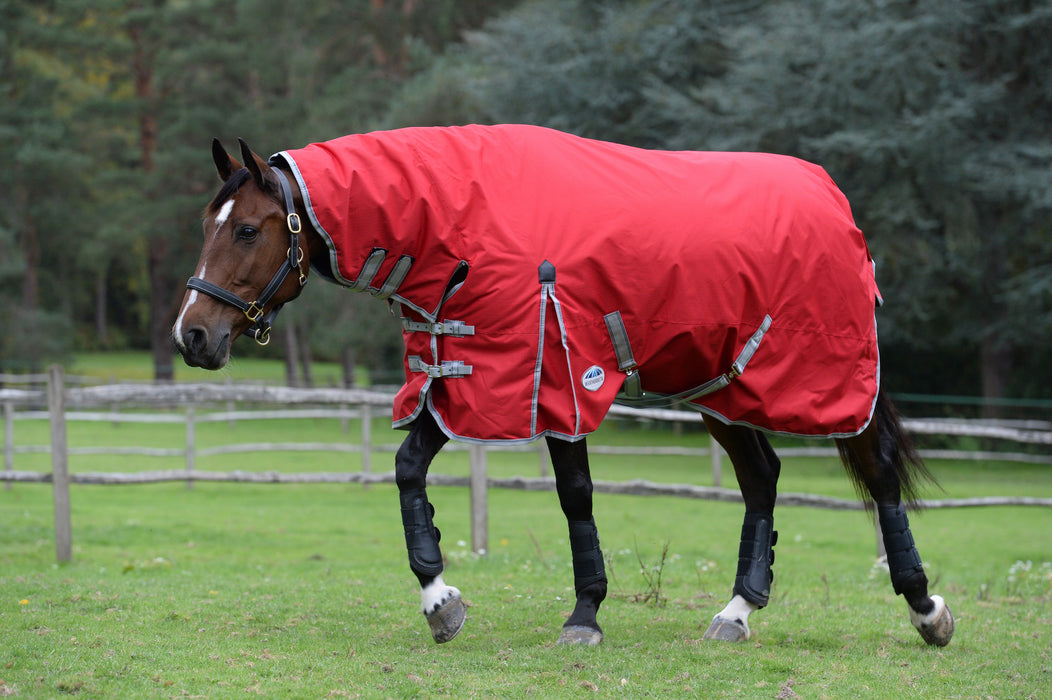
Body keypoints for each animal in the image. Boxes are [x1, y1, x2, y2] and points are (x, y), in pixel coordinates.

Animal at [174, 124, 955, 644]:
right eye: (209, 223)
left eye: (247, 230)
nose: (192, 336)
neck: (459, 217)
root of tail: (834, 199)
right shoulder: (465, 376)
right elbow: (407, 470)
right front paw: (440, 600)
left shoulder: (553, 374)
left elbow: (575, 495)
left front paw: (585, 615)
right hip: (720, 387)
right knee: (762, 478)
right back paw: (736, 612)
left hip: (827, 382)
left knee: (879, 472)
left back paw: (925, 608)